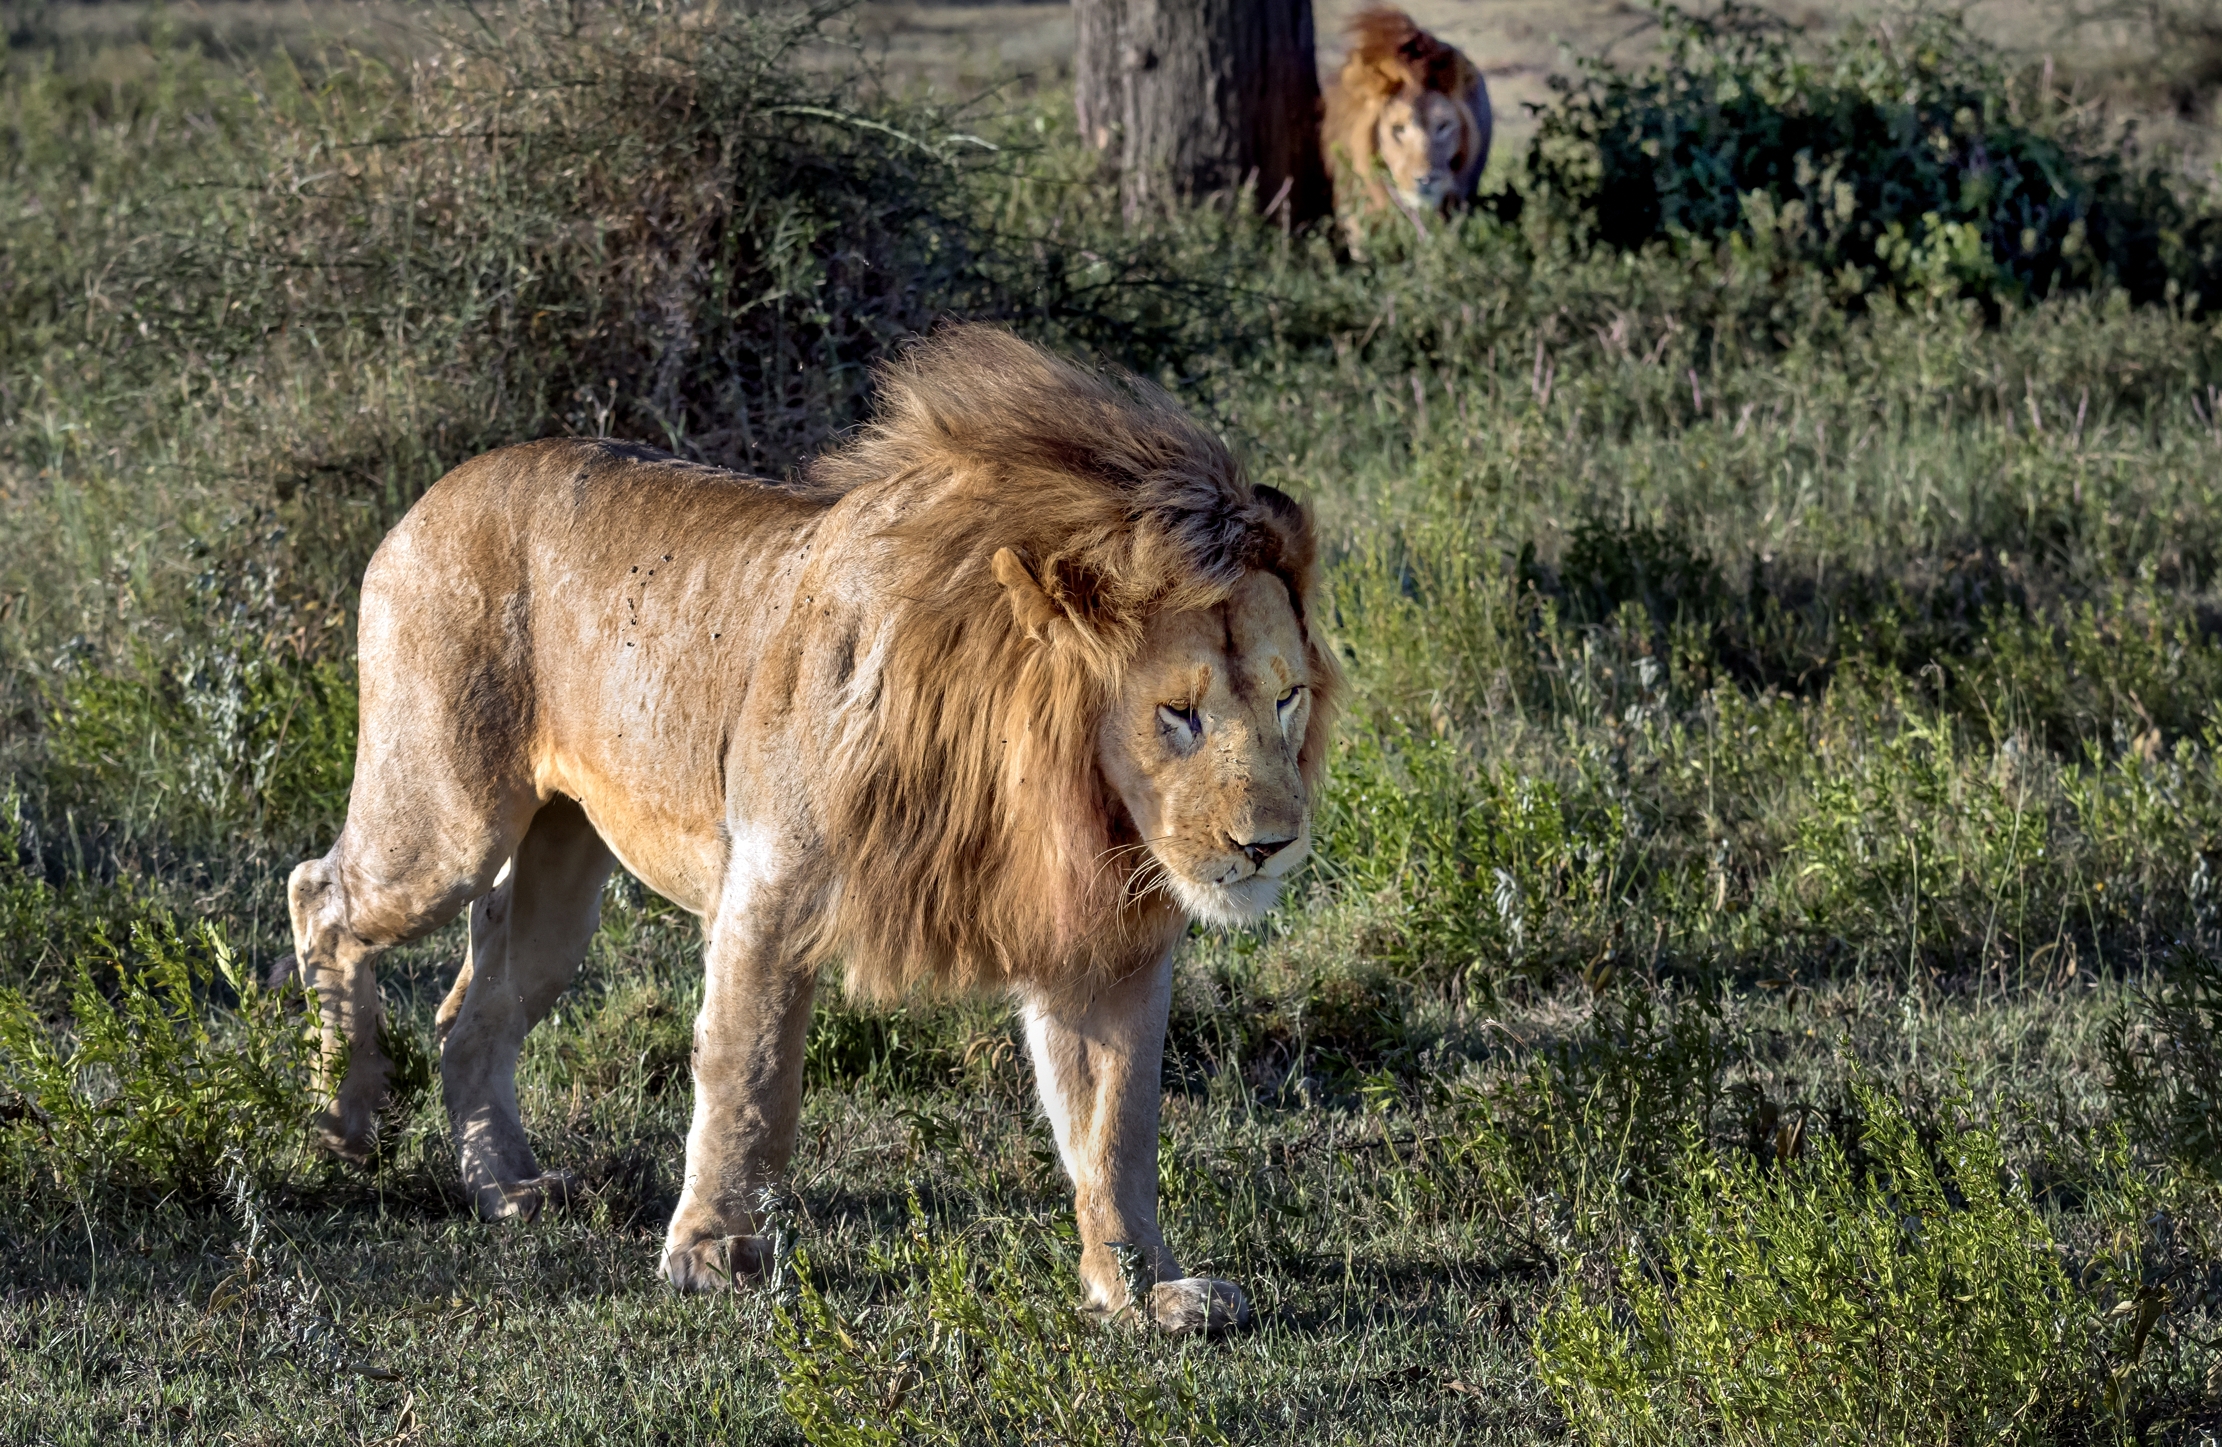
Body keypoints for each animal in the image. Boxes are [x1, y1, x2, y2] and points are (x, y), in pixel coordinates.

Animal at [283, 324, 1341, 1333]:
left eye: (1286, 698)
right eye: (1179, 713)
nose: (1269, 844)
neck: (1049, 791)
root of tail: (432, 494)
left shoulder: (1099, 943)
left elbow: (1115, 1123)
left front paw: (1145, 1288)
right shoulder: (772, 881)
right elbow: (747, 1073)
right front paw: (715, 1251)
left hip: (557, 879)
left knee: (473, 1013)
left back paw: (505, 1187)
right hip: (447, 822)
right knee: (321, 895)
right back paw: (342, 1117)